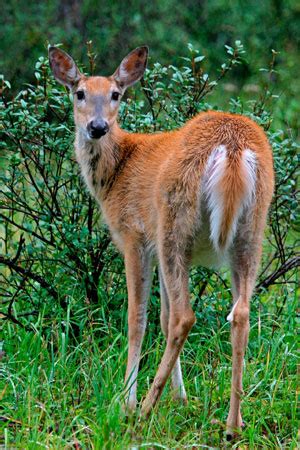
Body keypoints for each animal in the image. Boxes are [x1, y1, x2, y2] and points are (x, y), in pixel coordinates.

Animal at [48, 45, 274, 440]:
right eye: (79, 93)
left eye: (115, 94)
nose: (97, 127)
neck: (117, 170)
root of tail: (231, 146)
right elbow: (163, 317)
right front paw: (180, 399)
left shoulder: (135, 238)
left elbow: (139, 318)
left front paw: (127, 400)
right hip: (250, 232)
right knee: (240, 314)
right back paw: (233, 424)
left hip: (173, 225)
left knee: (185, 316)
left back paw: (144, 412)